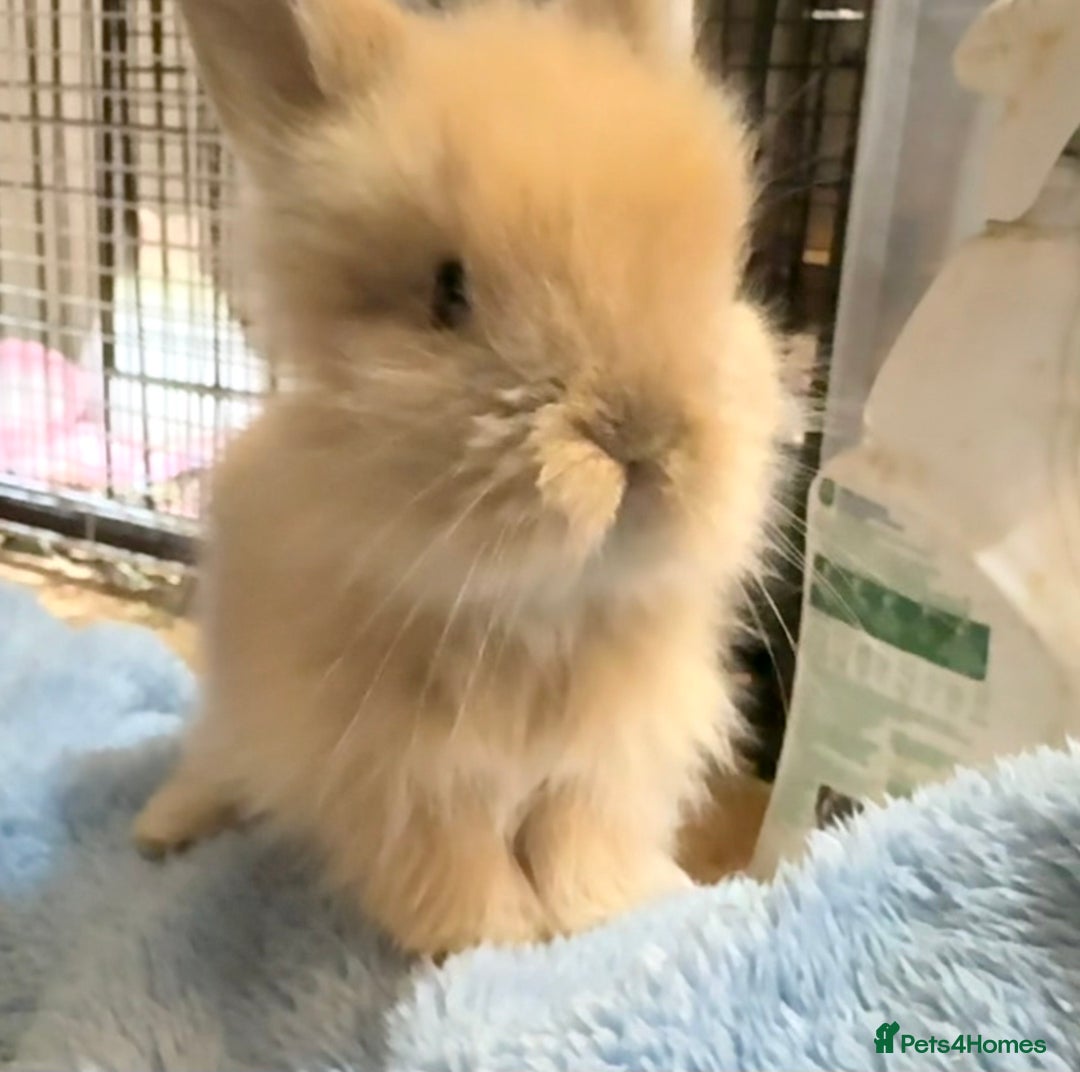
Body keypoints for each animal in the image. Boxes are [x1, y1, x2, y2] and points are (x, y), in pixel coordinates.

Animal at [133, 0, 787, 957]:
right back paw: (159, 830)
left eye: (720, 275)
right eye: (449, 293)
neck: (538, 614)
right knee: (214, 761)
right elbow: (459, 864)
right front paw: (493, 940)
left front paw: (600, 914)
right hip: (232, 715)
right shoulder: (411, 780)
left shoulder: (603, 765)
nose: (641, 436)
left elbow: (578, 841)